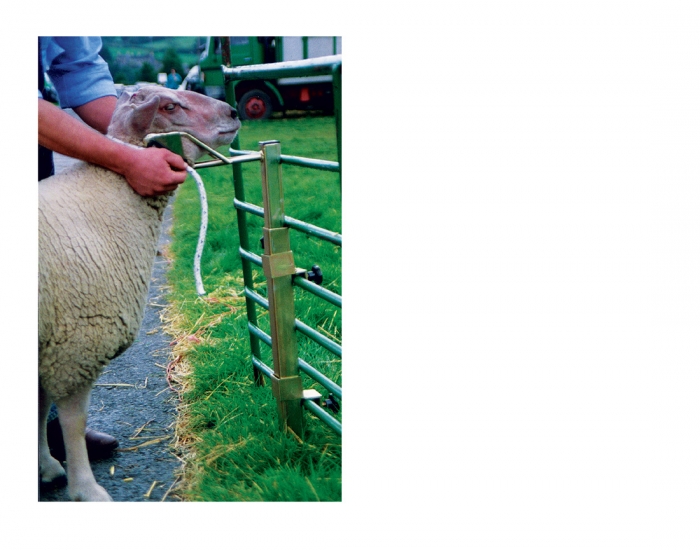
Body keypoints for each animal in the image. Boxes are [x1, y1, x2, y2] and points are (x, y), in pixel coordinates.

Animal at [38, 86, 240, 501]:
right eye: (169, 106)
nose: (233, 111)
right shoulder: (76, 344)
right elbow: (72, 420)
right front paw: (86, 490)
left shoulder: (52, 341)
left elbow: (38, 405)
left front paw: (47, 466)